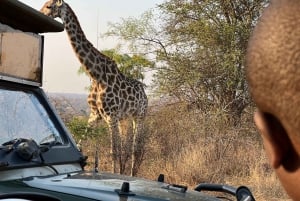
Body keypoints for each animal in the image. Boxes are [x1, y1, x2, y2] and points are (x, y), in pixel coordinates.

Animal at [40, 0, 149, 176]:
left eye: (49, 6)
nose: (40, 13)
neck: (95, 74)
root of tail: (145, 94)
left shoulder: (111, 116)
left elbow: (113, 151)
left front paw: (114, 175)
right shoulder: (95, 114)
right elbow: (82, 144)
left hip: (140, 116)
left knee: (135, 148)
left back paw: (132, 174)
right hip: (125, 118)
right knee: (125, 146)